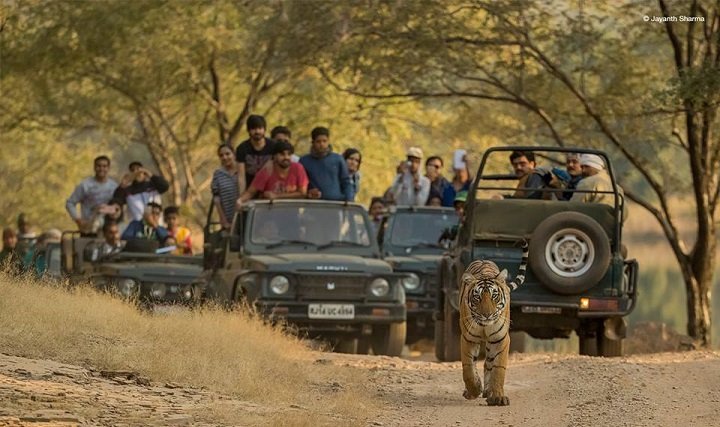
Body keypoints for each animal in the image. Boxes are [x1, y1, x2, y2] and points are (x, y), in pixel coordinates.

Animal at [459, 240, 529, 406]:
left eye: (494, 296)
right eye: (477, 297)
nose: (487, 315)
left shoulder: (501, 339)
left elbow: (498, 368)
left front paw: (497, 397)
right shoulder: (468, 338)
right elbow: (468, 368)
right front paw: (473, 390)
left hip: (491, 344)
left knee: (488, 364)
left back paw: (488, 391)